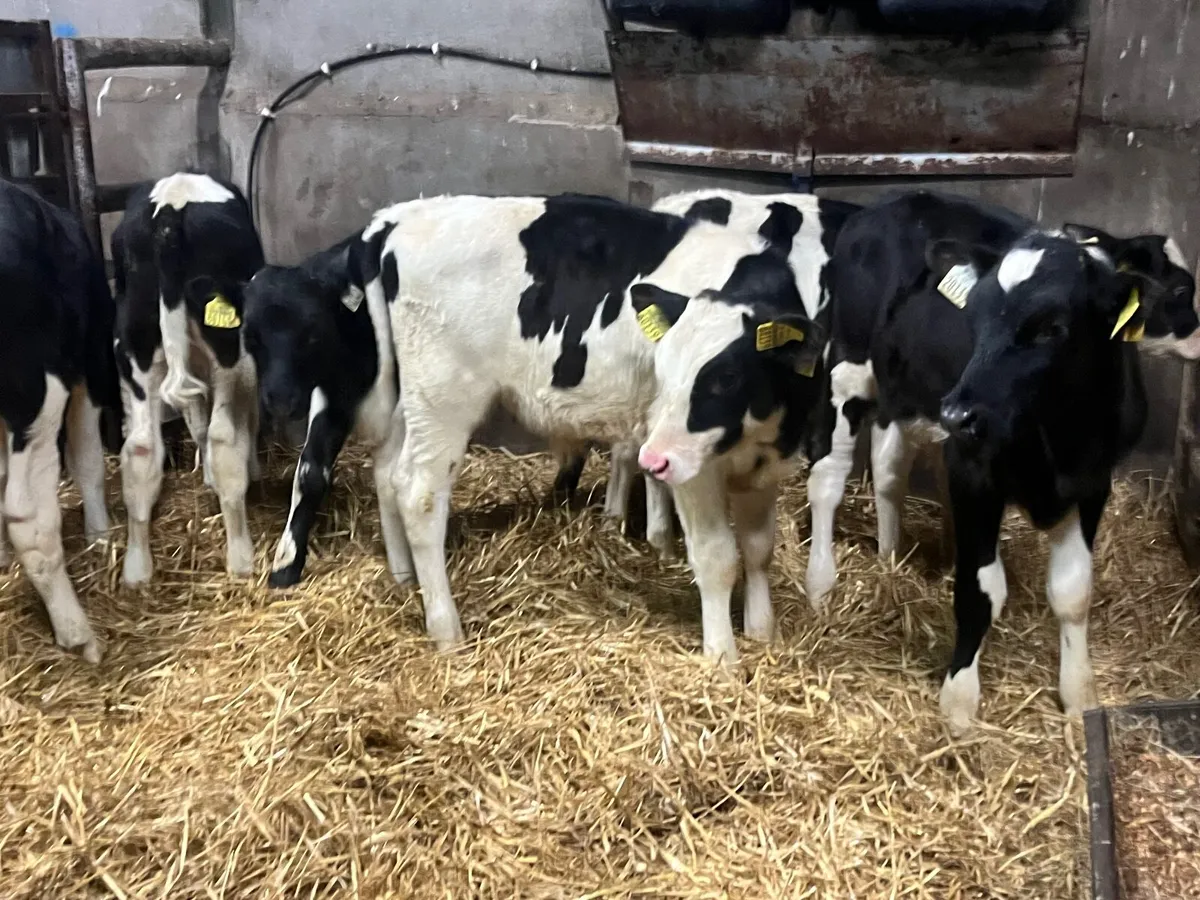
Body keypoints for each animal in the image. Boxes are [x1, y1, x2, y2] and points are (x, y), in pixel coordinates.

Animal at [112, 172, 265, 585]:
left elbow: (196, 424)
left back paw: (137, 568)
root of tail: (170, 205)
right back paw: (241, 559)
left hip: (134, 345)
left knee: (140, 448)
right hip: (232, 349)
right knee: (224, 437)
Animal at [377, 193, 830, 660]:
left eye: (728, 377)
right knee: (419, 494)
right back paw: (446, 629)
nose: (654, 459)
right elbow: (717, 557)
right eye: (662, 367)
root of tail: (401, 217)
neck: (759, 428)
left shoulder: (767, 464)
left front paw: (762, 631)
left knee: (387, 471)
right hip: (444, 396)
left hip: (411, 399)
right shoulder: (692, 468)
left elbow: (759, 549)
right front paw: (722, 655)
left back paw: (403, 579)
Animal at [808, 190, 1198, 733]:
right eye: (973, 318)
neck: (1061, 435)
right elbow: (980, 591)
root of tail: (891, 202)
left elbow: (1073, 591)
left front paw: (1078, 694)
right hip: (848, 363)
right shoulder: (974, 473)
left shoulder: (1092, 482)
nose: (956, 412)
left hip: (899, 394)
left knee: (889, 472)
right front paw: (959, 703)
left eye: (1053, 327)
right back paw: (820, 585)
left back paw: (889, 558)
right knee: (828, 477)